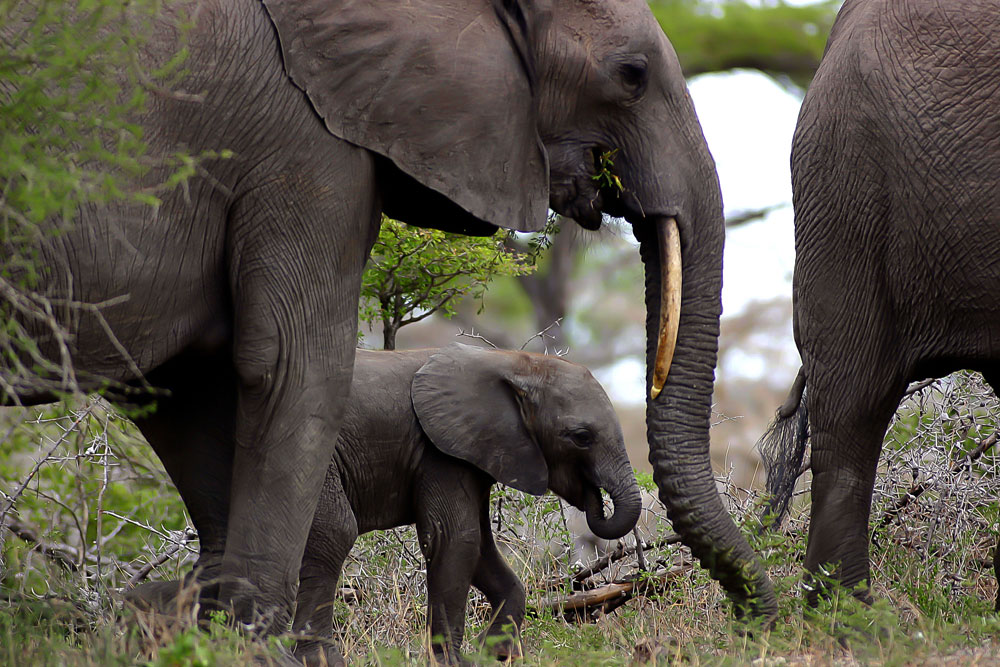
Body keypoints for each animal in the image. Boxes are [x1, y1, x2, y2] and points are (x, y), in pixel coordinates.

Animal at [292, 344, 644, 667]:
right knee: (334, 531)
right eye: (581, 437)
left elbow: (482, 550)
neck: (511, 362)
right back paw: (319, 659)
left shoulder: (476, 451)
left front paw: (495, 653)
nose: (594, 499)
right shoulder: (439, 452)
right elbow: (457, 539)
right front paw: (453, 661)